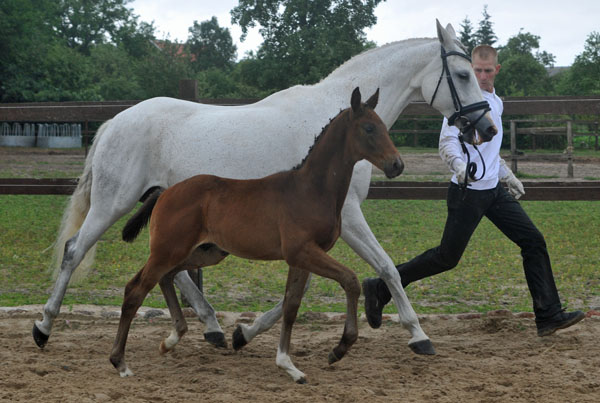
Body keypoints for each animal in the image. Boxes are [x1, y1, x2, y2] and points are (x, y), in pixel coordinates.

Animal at [110, 87, 406, 384]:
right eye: (369, 128)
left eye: (383, 126)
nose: (397, 164)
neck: (311, 190)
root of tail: (165, 192)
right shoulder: (302, 251)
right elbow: (350, 280)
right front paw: (339, 349)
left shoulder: (301, 259)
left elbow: (292, 306)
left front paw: (288, 364)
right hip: (168, 250)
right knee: (136, 290)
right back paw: (120, 362)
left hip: (202, 252)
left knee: (165, 277)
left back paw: (171, 339)